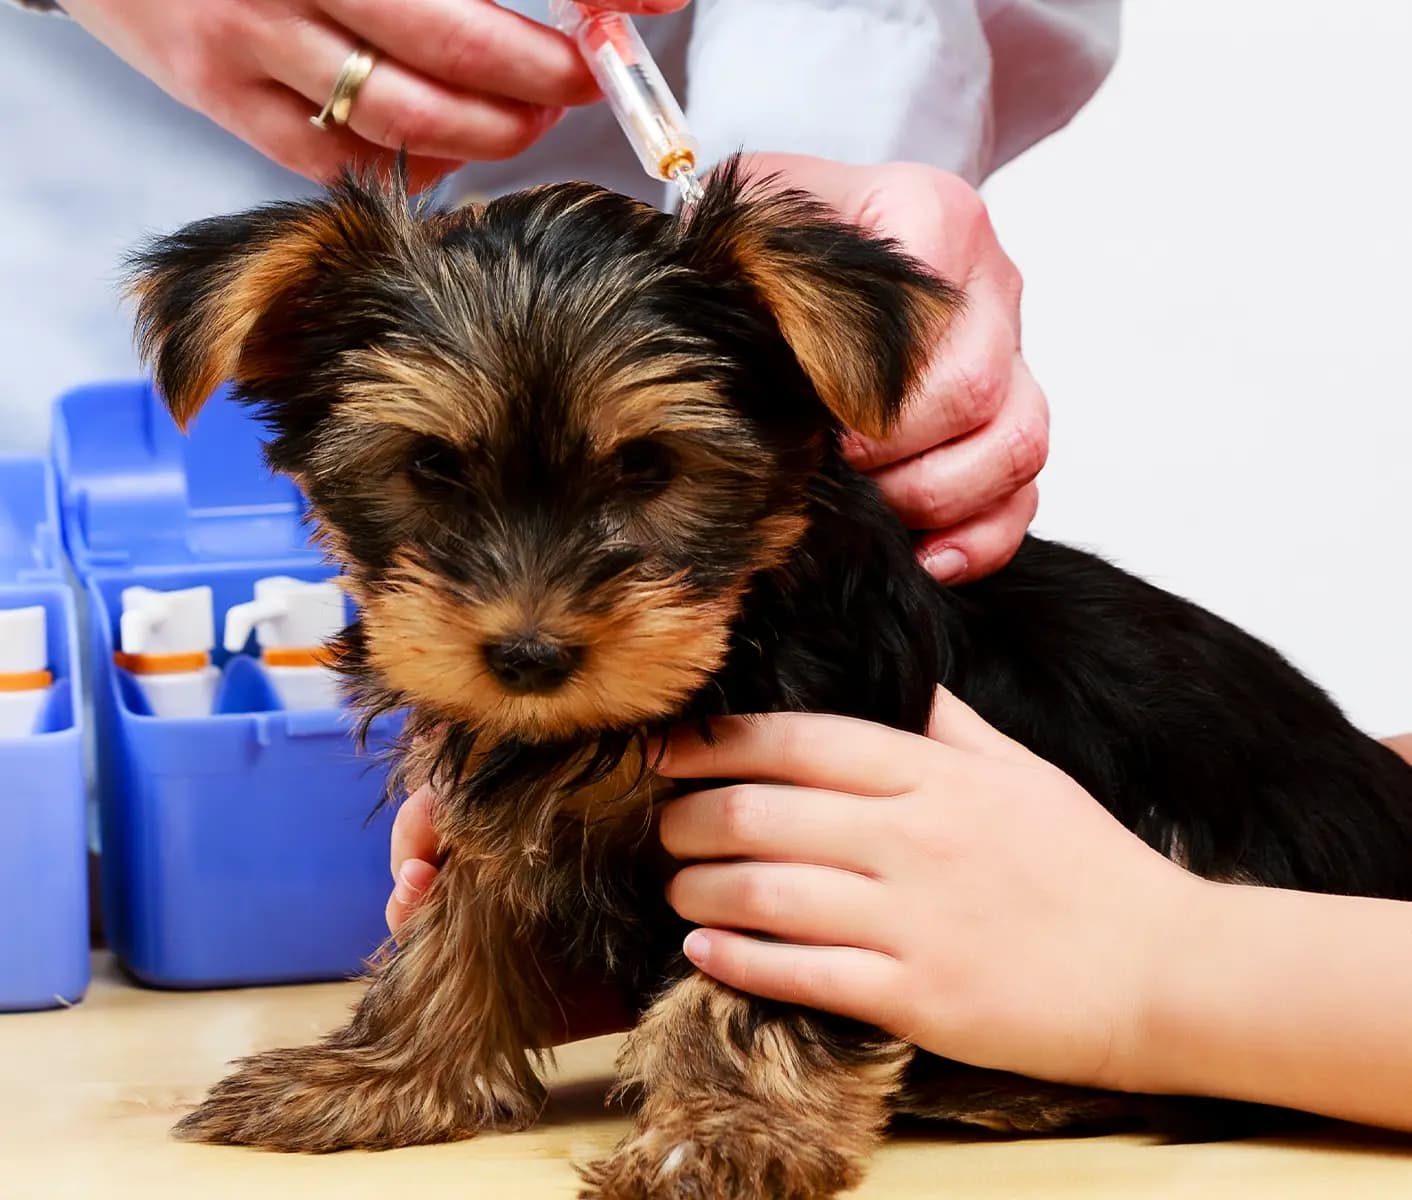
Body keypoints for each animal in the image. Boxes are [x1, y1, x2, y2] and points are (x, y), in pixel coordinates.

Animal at [127, 161, 1412, 1197]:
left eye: (647, 467)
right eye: (432, 467)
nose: (530, 654)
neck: (721, 646)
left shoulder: (804, 839)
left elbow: (751, 989)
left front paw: (725, 1134)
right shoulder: (515, 799)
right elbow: (454, 926)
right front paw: (376, 1070)